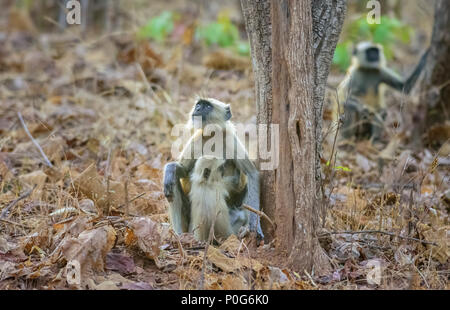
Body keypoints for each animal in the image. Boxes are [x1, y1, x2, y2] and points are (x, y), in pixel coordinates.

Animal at [163, 98, 264, 243]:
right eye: (199, 104)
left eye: (207, 106)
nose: (197, 109)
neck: (212, 136)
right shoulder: (197, 139)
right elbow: (183, 170)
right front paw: (170, 169)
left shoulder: (229, 139)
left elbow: (252, 173)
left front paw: (255, 225)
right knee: (173, 183)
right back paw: (180, 236)